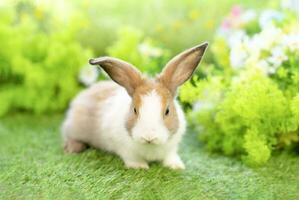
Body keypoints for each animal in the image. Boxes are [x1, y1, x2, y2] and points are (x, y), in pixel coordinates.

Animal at [61, 41, 209, 169]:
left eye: (167, 111)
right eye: (134, 110)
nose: (149, 137)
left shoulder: (171, 148)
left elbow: (170, 156)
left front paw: (176, 166)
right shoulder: (124, 148)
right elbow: (132, 157)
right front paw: (140, 167)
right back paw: (73, 148)